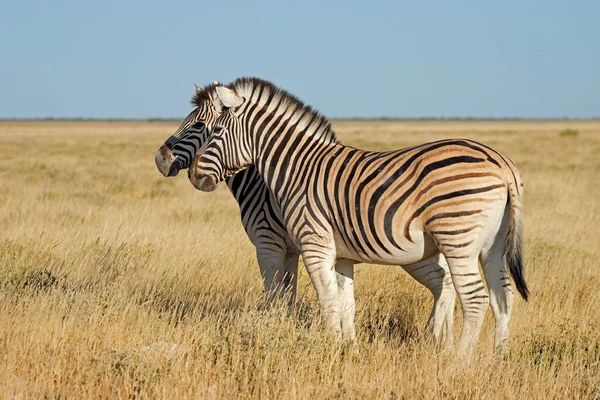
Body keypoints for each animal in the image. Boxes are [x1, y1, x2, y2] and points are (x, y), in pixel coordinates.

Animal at [157, 80, 458, 344]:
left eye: (199, 124)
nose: (161, 158)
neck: (263, 181)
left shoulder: (268, 244)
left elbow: (274, 293)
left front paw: (273, 330)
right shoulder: (290, 250)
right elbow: (288, 294)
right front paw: (286, 327)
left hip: (414, 252)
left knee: (445, 284)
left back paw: (437, 339)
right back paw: (445, 342)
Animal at [189, 77, 528, 356]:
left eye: (214, 131)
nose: (193, 175)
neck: (297, 168)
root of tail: (501, 162)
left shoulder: (313, 245)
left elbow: (327, 301)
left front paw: (327, 349)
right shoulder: (342, 256)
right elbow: (345, 304)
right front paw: (346, 348)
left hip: (458, 238)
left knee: (475, 298)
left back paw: (458, 360)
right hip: (493, 245)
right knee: (503, 296)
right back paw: (498, 358)